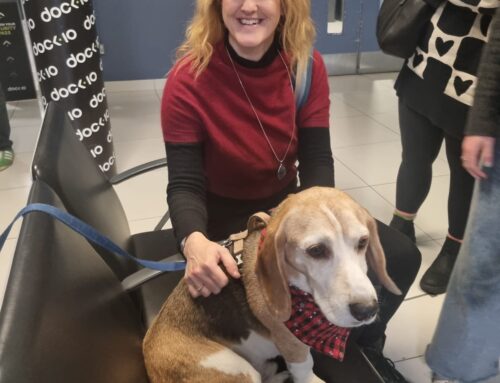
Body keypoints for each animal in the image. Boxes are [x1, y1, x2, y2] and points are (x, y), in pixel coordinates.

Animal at [143, 188, 400, 382]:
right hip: (238, 370)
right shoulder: (295, 349)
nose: (367, 310)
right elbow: (306, 370)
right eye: (316, 250)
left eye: (363, 242)